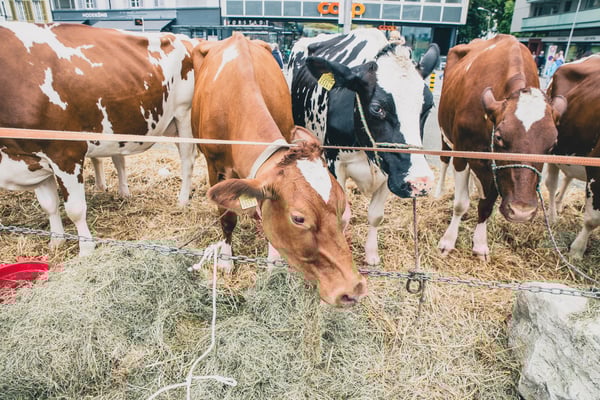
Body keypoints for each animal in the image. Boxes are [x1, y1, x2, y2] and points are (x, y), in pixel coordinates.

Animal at [0, 22, 199, 256]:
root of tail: (185, 38)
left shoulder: (65, 153)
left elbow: (75, 209)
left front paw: (86, 249)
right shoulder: (31, 156)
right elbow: (49, 205)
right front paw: (56, 241)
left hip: (183, 114)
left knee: (187, 160)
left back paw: (183, 200)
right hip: (169, 124)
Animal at [190, 32, 367, 307]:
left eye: (341, 207)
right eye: (298, 218)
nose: (354, 289)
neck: (235, 102)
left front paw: (274, 267)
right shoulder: (214, 167)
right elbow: (227, 218)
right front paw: (227, 260)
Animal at [286, 28, 439, 265]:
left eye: (429, 106)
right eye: (377, 108)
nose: (420, 182)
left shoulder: (390, 169)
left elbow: (376, 215)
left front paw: (371, 254)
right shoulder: (335, 163)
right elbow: (340, 215)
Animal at [436, 34, 566, 261]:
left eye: (552, 146)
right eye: (499, 138)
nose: (521, 211)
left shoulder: (496, 169)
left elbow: (486, 206)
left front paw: (480, 245)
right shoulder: (462, 155)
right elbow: (460, 203)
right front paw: (448, 241)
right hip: (446, 135)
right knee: (444, 160)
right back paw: (439, 191)